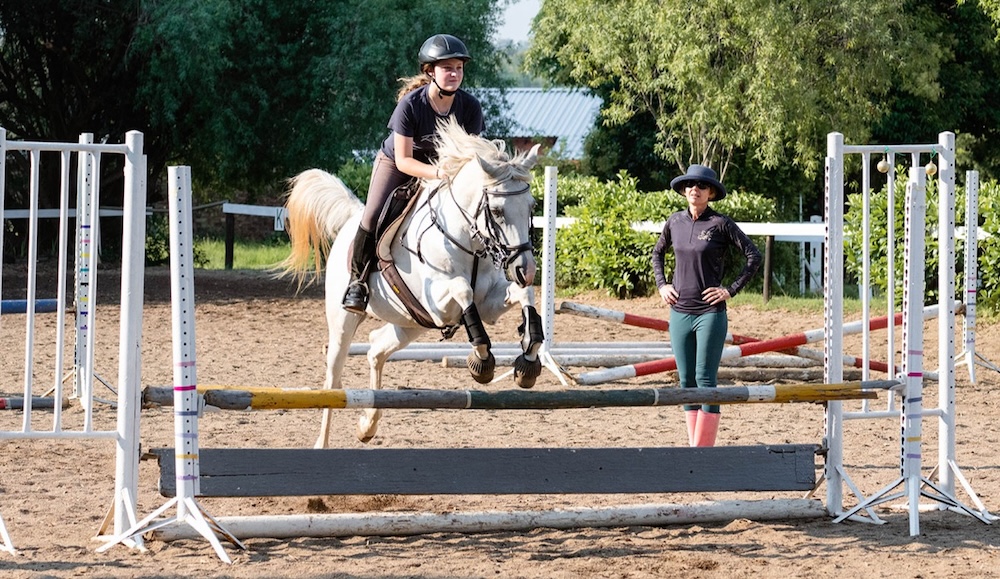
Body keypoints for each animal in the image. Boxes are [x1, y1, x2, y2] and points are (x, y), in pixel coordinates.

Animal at [280, 118, 544, 446]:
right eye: (496, 211)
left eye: (531, 206)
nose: (525, 268)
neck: (467, 240)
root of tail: (352, 220)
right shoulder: (439, 306)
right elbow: (463, 289)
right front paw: (482, 360)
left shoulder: (488, 305)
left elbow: (524, 295)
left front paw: (528, 358)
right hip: (344, 320)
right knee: (334, 378)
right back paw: (323, 442)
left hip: (410, 323)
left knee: (376, 349)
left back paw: (367, 426)